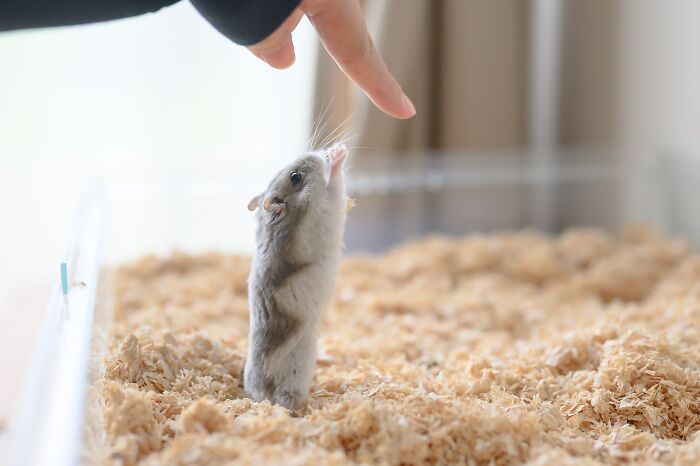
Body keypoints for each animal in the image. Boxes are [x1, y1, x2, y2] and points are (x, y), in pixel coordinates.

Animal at [244, 144, 349, 410]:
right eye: (295, 177)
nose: (315, 153)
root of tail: (261, 396)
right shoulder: (324, 210)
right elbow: (335, 187)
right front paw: (337, 153)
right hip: (291, 378)